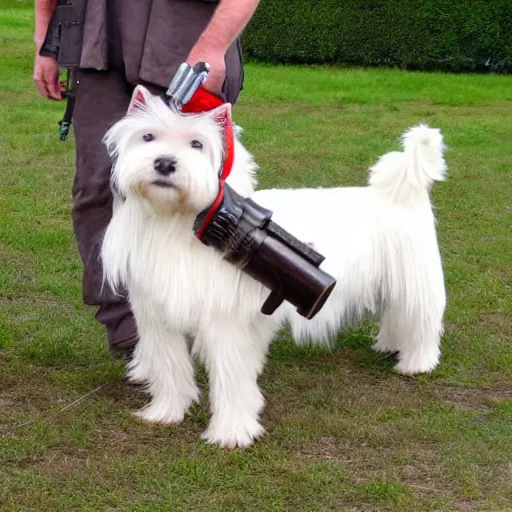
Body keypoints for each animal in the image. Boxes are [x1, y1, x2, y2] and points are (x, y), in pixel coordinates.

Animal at [102, 87, 446, 448]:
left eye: (197, 144)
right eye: (148, 137)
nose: (165, 163)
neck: (175, 225)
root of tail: (405, 190)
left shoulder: (225, 324)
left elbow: (231, 379)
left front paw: (231, 432)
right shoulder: (159, 319)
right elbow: (170, 370)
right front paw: (166, 412)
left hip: (415, 281)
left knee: (422, 320)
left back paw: (416, 363)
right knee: (396, 316)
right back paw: (389, 345)